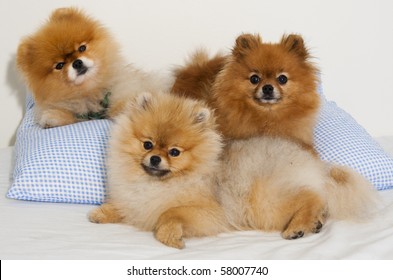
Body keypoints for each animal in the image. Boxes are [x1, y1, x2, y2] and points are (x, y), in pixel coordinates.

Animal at [88, 91, 230, 248]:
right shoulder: (134, 202)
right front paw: (103, 212)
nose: (155, 159)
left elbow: (170, 212)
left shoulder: (213, 213)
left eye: (174, 152)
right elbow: (125, 206)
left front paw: (170, 236)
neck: (153, 184)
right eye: (147, 144)